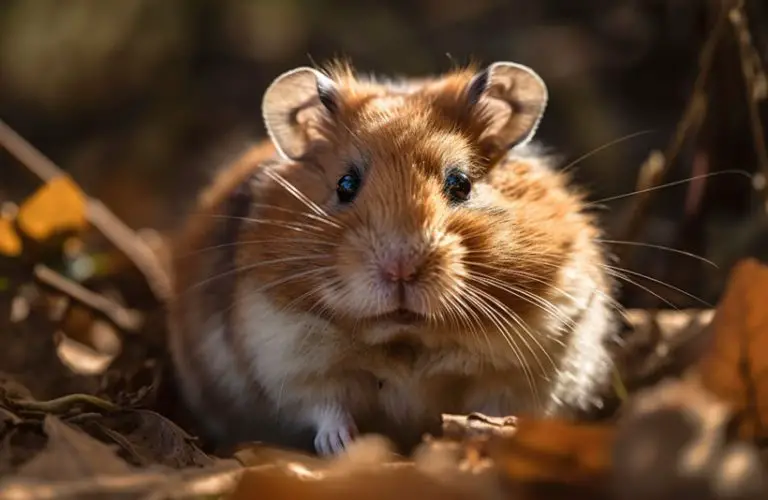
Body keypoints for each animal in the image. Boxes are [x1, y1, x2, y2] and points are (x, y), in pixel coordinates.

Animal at [166, 60, 619, 457]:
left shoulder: (531, 361)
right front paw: (342, 447)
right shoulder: (284, 353)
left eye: (461, 184)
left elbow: (496, 410)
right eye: (345, 185)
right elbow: (324, 406)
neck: (407, 338)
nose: (401, 269)